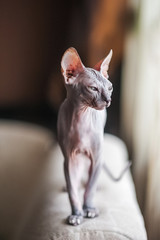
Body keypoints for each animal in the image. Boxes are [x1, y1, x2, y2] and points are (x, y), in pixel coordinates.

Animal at [57, 47, 131, 227]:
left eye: (110, 88)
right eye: (93, 88)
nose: (108, 100)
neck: (81, 118)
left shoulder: (97, 158)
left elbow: (89, 188)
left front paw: (88, 209)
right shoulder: (69, 159)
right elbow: (73, 190)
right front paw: (76, 214)